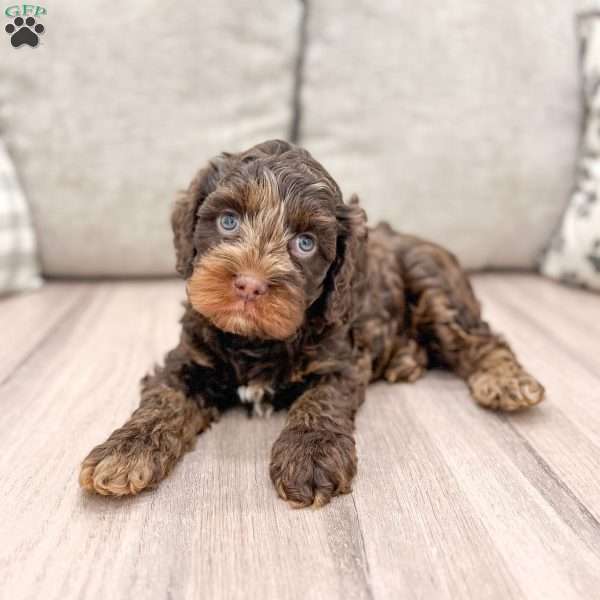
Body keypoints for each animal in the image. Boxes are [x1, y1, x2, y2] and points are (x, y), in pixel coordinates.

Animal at [79, 139, 544, 506]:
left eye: (305, 243)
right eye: (228, 220)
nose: (249, 285)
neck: (256, 341)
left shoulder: (340, 361)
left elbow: (320, 401)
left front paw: (310, 455)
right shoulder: (188, 358)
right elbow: (164, 399)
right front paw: (125, 451)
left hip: (434, 287)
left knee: (480, 340)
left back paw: (506, 382)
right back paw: (406, 359)